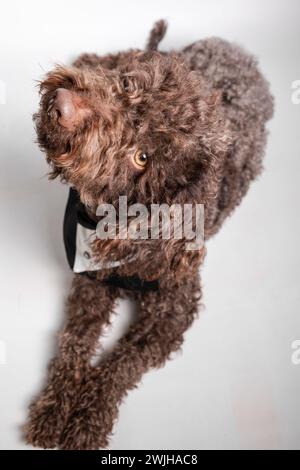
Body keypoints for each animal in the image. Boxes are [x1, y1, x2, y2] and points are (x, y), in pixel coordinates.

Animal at [25, 21, 274, 448]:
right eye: (127, 85)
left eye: (142, 157)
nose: (63, 103)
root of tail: (237, 49)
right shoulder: (91, 282)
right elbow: (74, 341)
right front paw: (54, 407)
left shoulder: (174, 314)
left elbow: (122, 364)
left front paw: (88, 419)